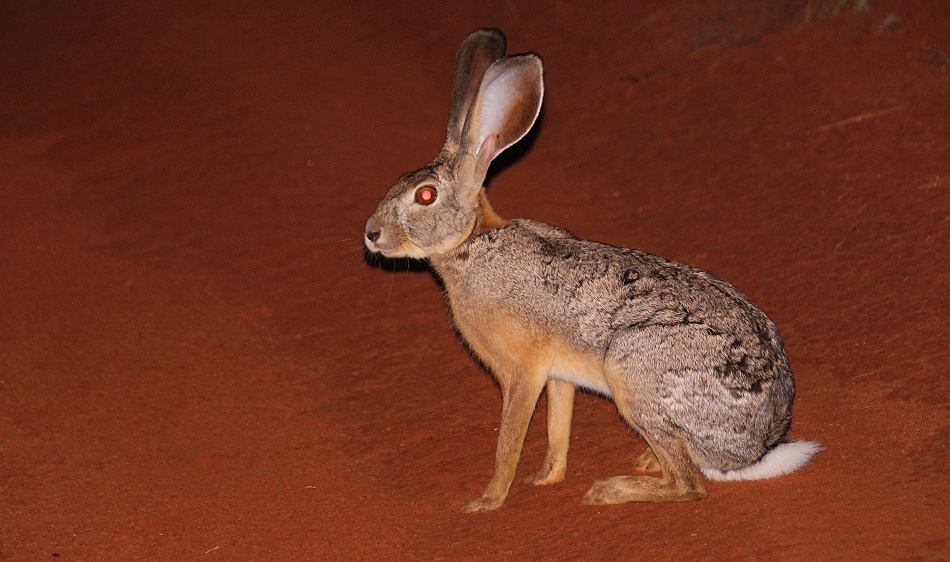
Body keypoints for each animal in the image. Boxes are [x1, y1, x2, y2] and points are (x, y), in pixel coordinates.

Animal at [364, 28, 819, 513]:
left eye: (425, 196)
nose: (371, 234)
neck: (470, 242)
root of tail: (758, 446)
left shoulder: (522, 373)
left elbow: (508, 441)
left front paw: (486, 501)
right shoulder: (558, 375)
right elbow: (557, 429)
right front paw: (544, 478)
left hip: (633, 373)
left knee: (688, 485)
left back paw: (610, 489)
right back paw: (642, 462)